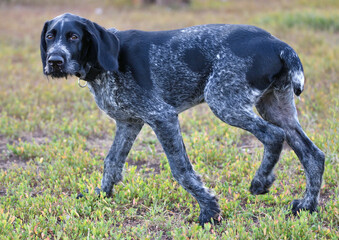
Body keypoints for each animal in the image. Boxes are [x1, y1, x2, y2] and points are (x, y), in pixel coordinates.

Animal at [40, 13, 326, 225]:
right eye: (50, 36)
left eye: (74, 36)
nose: (54, 61)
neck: (105, 64)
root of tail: (280, 45)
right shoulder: (129, 122)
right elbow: (111, 161)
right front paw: (101, 195)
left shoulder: (162, 117)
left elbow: (181, 170)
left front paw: (210, 211)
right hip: (275, 107)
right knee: (313, 155)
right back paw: (307, 205)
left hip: (223, 101)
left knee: (273, 136)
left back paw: (260, 182)